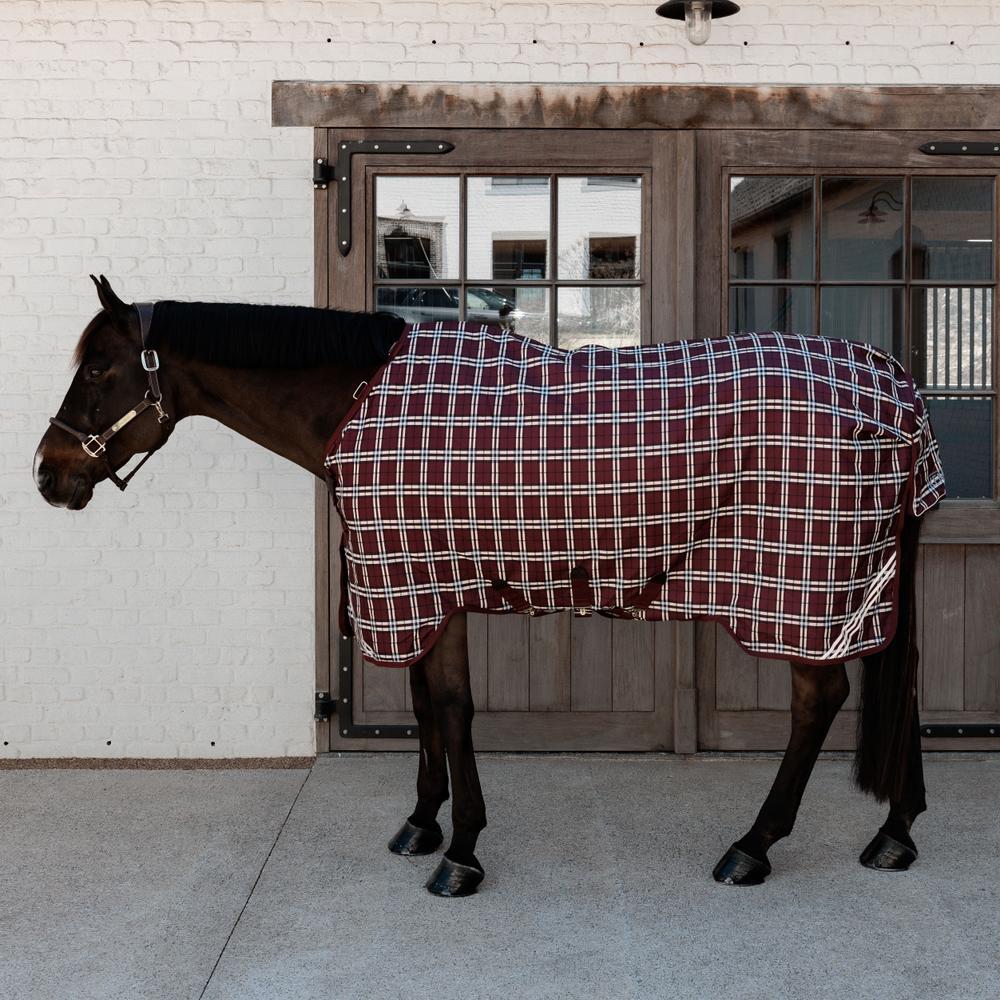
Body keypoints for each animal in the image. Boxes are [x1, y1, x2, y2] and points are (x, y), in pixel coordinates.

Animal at [36, 275, 939, 897]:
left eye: (100, 371)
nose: (49, 474)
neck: (362, 403)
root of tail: (895, 383)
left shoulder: (422, 581)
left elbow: (451, 706)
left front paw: (461, 852)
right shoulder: (419, 586)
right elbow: (427, 705)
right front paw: (421, 825)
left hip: (805, 592)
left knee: (820, 702)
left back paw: (753, 846)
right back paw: (895, 832)